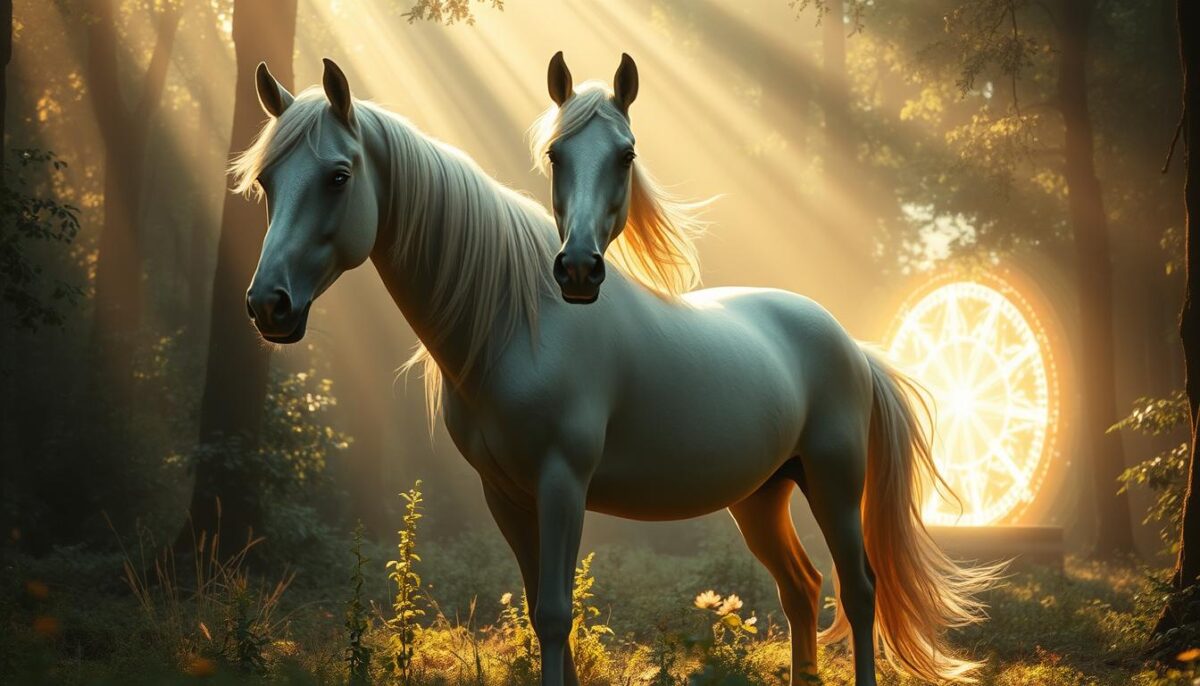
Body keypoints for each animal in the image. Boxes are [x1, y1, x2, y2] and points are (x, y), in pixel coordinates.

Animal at [239, 57, 996, 686]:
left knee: (859, 590)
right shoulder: (505, 494)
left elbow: (553, 613)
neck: (519, 323)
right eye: (267, 181)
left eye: (339, 176)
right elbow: (541, 612)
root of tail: (849, 345)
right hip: (761, 496)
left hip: (833, 482)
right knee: (801, 589)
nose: (268, 305)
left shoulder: (562, 482)